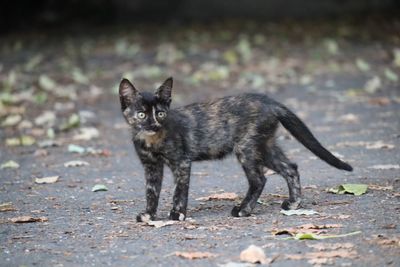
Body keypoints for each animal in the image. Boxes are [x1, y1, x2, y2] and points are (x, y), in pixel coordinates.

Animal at [119, 77, 354, 222]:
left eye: (160, 113)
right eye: (142, 114)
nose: (153, 125)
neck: (151, 141)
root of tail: (269, 101)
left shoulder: (181, 162)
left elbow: (179, 190)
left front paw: (177, 214)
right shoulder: (151, 166)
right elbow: (151, 191)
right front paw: (149, 215)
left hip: (247, 148)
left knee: (259, 179)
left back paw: (243, 210)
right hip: (265, 146)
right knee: (291, 168)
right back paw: (293, 204)